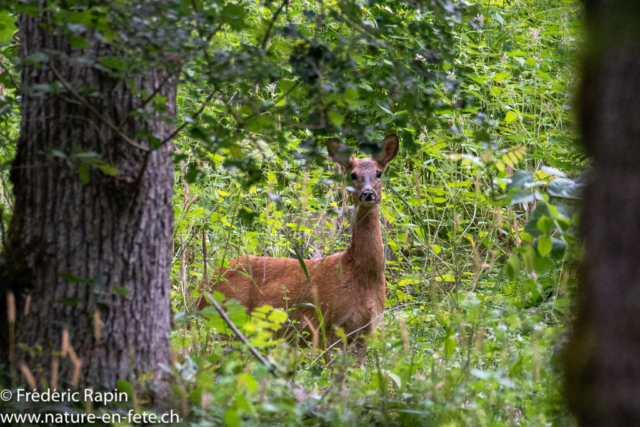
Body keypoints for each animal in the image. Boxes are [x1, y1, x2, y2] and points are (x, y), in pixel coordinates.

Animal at [199, 135, 400, 354]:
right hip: (226, 321)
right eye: (353, 175)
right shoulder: (328, 325)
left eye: (379, 173)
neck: (359, 273)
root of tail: (206, 286)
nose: (367, 194)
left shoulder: (367, 331)